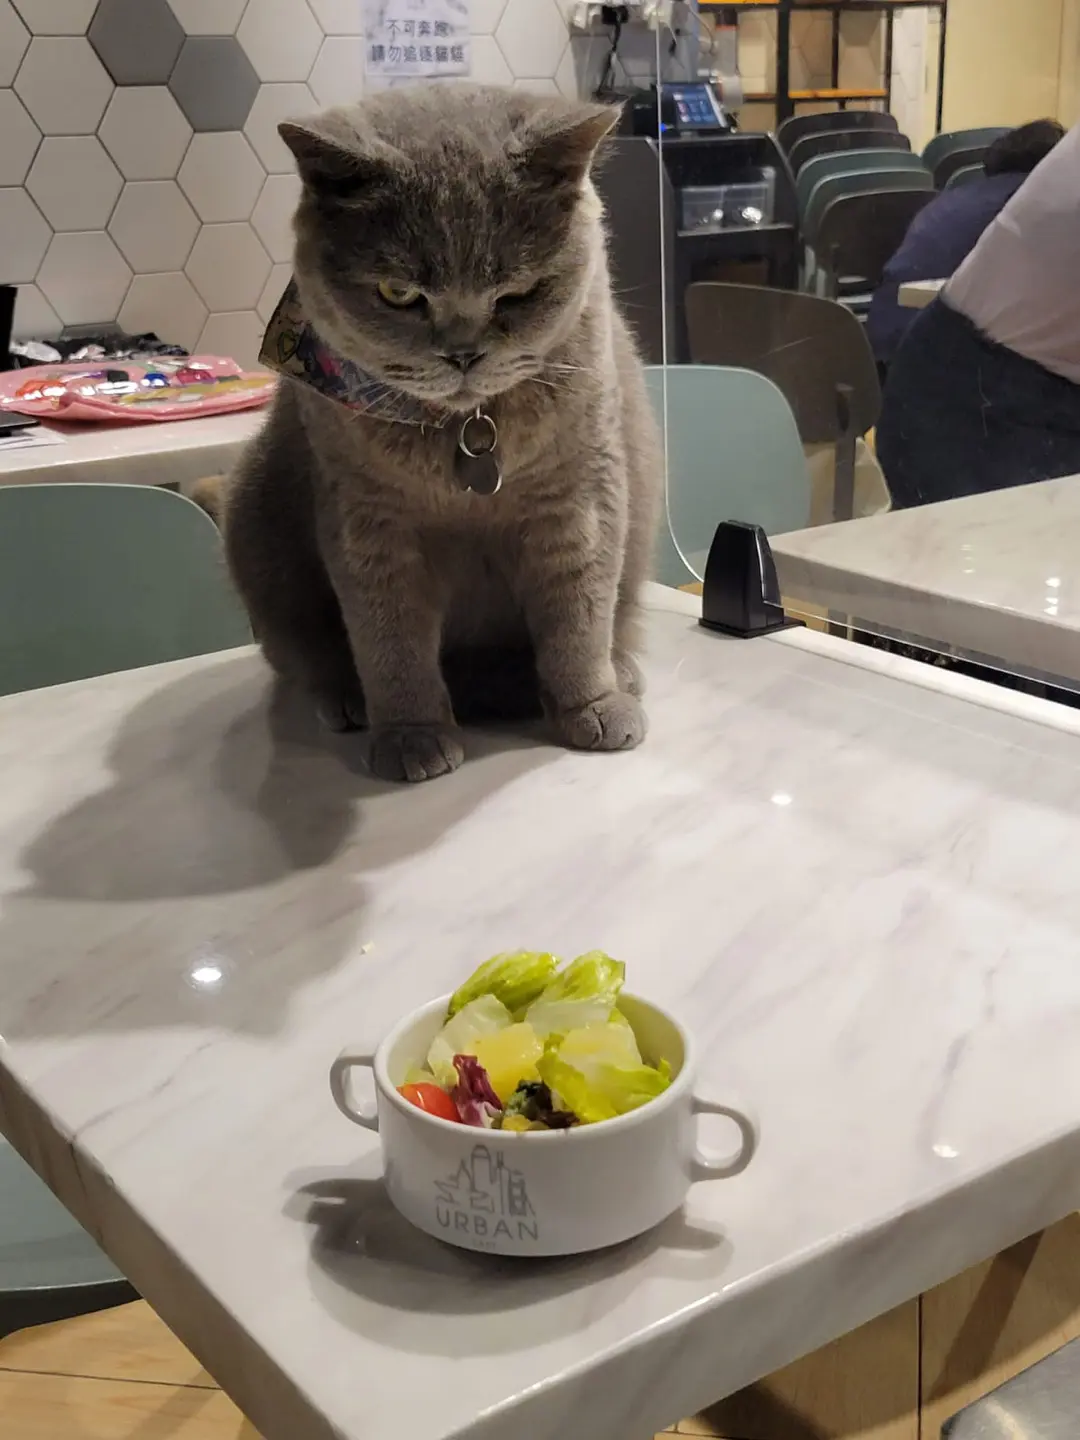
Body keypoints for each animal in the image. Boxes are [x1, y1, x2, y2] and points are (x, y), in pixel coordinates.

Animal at [224, 84, 662, 783]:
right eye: (398, 292)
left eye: (517, 291)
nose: (462, 352)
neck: (466, 435)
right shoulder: (369, 523)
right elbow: (391, 639)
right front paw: (412, 739)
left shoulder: (581, 500)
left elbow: (580, 614)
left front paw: (592, 707)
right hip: (259, 526)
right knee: (310, 654)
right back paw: (348, 700)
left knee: (613, 617)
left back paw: (620, 672)